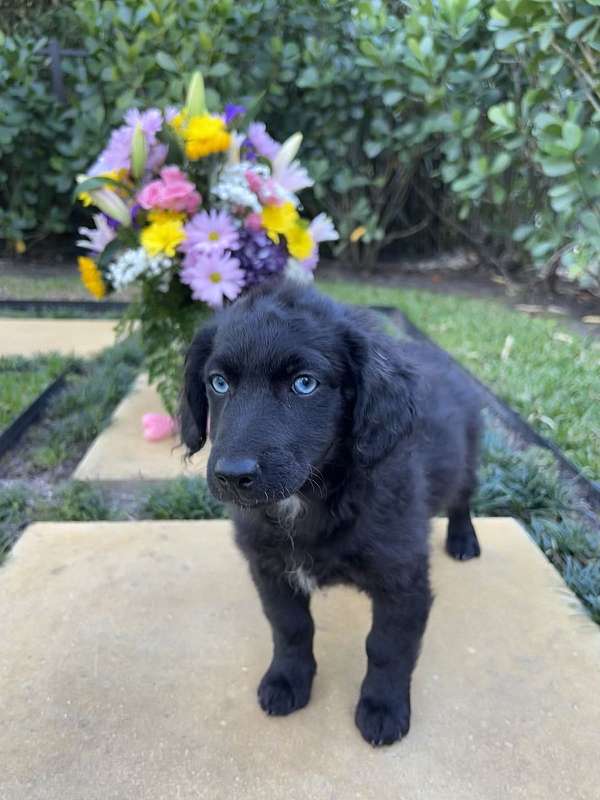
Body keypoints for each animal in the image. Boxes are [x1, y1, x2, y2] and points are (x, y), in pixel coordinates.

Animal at [179, 280, 482, 744]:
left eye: (305, 384)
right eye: (218, 382)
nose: (232, 475)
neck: (310, 499)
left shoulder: (403, 578)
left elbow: (387, 646)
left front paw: (383, 707)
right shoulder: (269, 567)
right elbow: (290, 626)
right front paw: (287, 680)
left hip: (466, 458)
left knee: (463, 498)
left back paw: (463, 539)